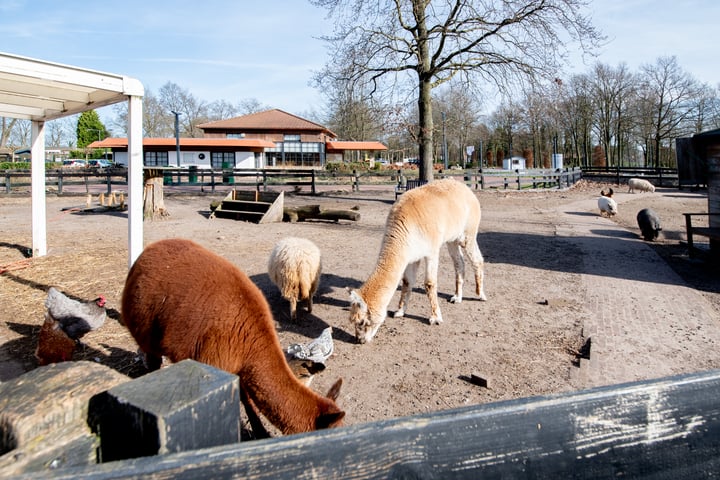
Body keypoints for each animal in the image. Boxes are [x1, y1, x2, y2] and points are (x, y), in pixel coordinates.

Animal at [121, 238, 346, 436]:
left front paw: (260, 431)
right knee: (151, 358)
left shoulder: (239, 365)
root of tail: (148, 250)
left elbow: (246, 398)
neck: (249, 341)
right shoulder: (213, 361)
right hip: (144, 324)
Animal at [348, 178, 486, 344]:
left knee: (477, 259)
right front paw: (400, 311)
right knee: (459, 263)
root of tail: (464, 187)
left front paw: (435, 318)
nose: (359, 340)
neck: (408, 225)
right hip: (452, 239)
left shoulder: (431, 252)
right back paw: (457, 297)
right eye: (352, 321)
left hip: (468, 234)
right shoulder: (411, 256)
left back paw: (480, 295)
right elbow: (407, 282)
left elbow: (430, 283)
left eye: (362, 322)